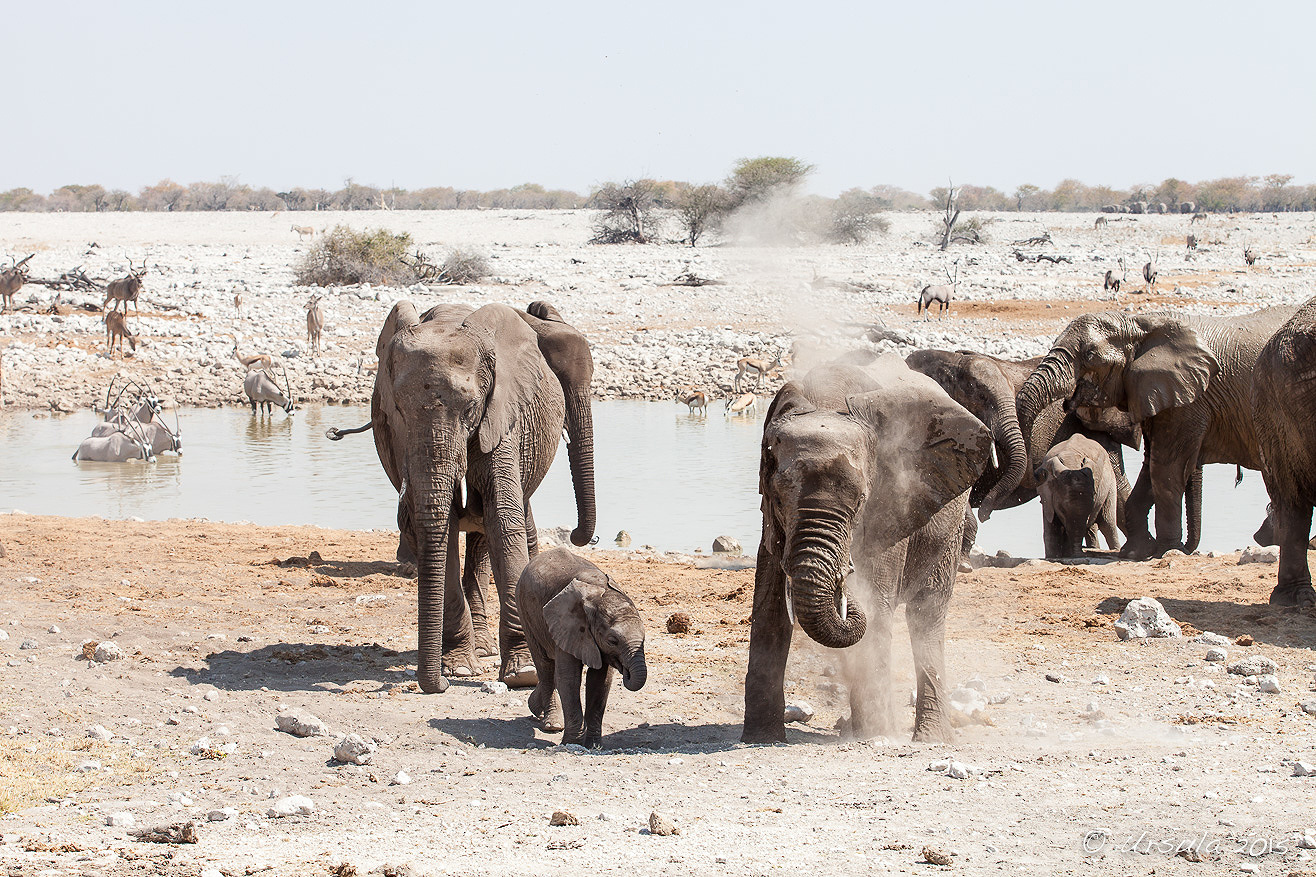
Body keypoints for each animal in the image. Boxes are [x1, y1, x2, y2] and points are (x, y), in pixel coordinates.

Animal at [368, 300, 600, 690]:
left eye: (470, 409)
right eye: (398, 409)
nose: (436, 685)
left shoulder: (502, 415)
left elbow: (502, 519)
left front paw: (523, 673)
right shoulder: (401, 440)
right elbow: (438, 526)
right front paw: (458, 668)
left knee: (492, 534)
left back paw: (489, 649)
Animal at [521, 547, 650, 742]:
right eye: (613, 641)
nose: (626, 671)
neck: (599, 594)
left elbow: (600, 680)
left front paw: (593, 744)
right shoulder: (568, 625)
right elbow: (569, 678)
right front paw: (571, 743)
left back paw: (535, 708)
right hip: (527, 613)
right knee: (545, 667)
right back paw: (552, 725)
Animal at [747, 352, 989, 742]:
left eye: (861, 500)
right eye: (779, 497)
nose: (845, 579)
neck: (826, 401)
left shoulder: (892, 502)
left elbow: (876, 603)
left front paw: (876, 735)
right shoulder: (771, 524)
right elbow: (769, 608)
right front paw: (760, 739)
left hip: (950, 526)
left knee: (926, 614)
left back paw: (929, 738)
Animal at [1015, 304, 1294, 555]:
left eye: (1090, 355)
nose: (1039, 473)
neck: (1141, 323)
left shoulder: (1188, 401)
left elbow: (1166, 468)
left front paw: (1166, 551)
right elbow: (1152, 466)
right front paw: (1137, 551)